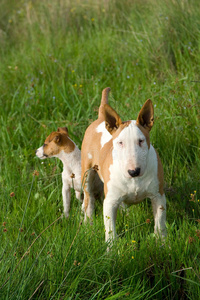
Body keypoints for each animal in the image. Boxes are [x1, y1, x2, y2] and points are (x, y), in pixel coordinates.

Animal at [80, 86, 166, 244]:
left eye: (141, 141)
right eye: (120, 143)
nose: (134, 171)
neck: (135, 179)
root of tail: (101, 118)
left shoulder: (158, 196)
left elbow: (160, 224)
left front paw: (163, 244)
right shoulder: (110, 202)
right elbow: (110, 231)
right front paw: (112, 249)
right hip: (87, 172)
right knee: (89, 199)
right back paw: (88, 225)